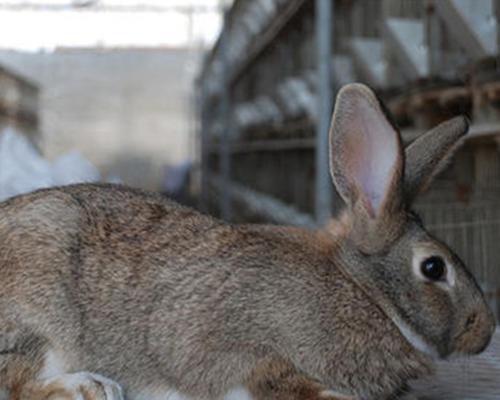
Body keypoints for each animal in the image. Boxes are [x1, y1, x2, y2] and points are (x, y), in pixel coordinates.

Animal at [0, 82, 496, 400]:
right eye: (433, 267)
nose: (487, 331)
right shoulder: (253, 353)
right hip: (42, 314)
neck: (363, 293)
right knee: (19, 380)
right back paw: (91, 387)